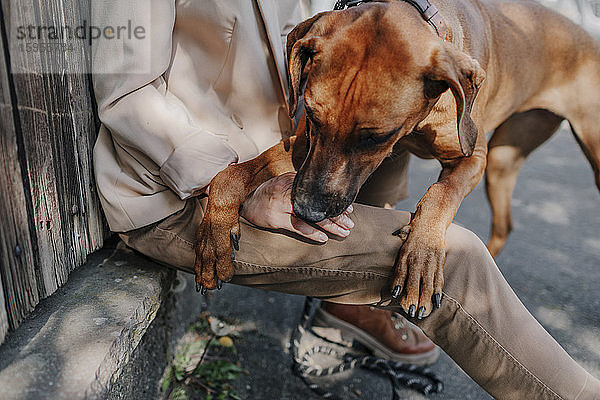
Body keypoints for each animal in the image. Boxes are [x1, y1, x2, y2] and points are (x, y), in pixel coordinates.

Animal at [193, 0, 600, 318]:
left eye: (375, 137)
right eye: (312, 115)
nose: (307, 210)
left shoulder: (473, 156)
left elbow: (442, 193)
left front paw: (422, 256)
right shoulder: (302, 146)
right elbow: (232, 174)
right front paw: (213, 236)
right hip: (504, 161)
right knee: (504, 225)